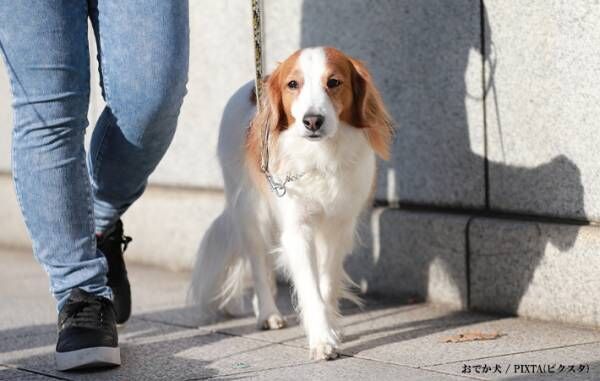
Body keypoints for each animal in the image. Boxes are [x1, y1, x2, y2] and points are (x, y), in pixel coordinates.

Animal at [189, 46, 394, 358]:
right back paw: (267, 314)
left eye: (334, 82)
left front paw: (330, 328)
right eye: (293, 84)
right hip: (251, 213)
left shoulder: (338, 226)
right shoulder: (298, 229)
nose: (312, 121)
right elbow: (309, 286)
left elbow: (326, 283)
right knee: (259, 266)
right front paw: (322, 339)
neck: (320, 158)